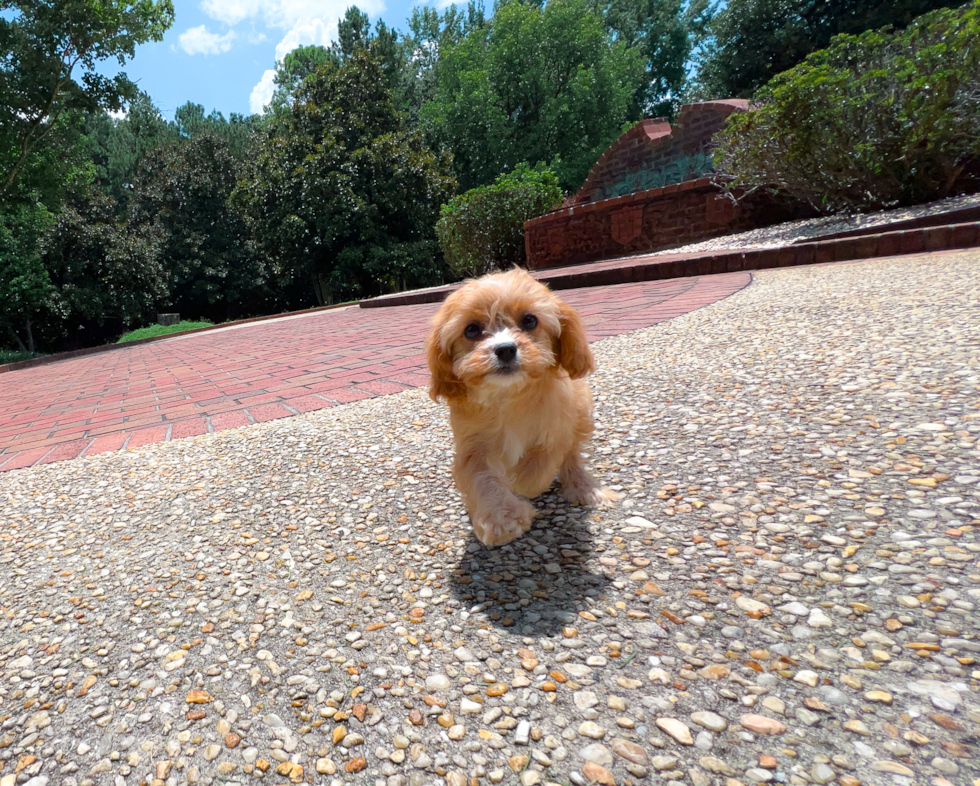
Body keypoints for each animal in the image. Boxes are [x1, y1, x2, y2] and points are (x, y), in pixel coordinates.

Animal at [424, 264, 616, 544]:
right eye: (471, 329)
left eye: (530, 320)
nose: (505, 349)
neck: (509, 395)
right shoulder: (473, 444)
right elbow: (483, 478)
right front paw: (502, 518)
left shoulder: (558, 425)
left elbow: (543, 461)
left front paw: (523, 484)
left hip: (582, 415)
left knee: (572, 458)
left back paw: (584, 488)